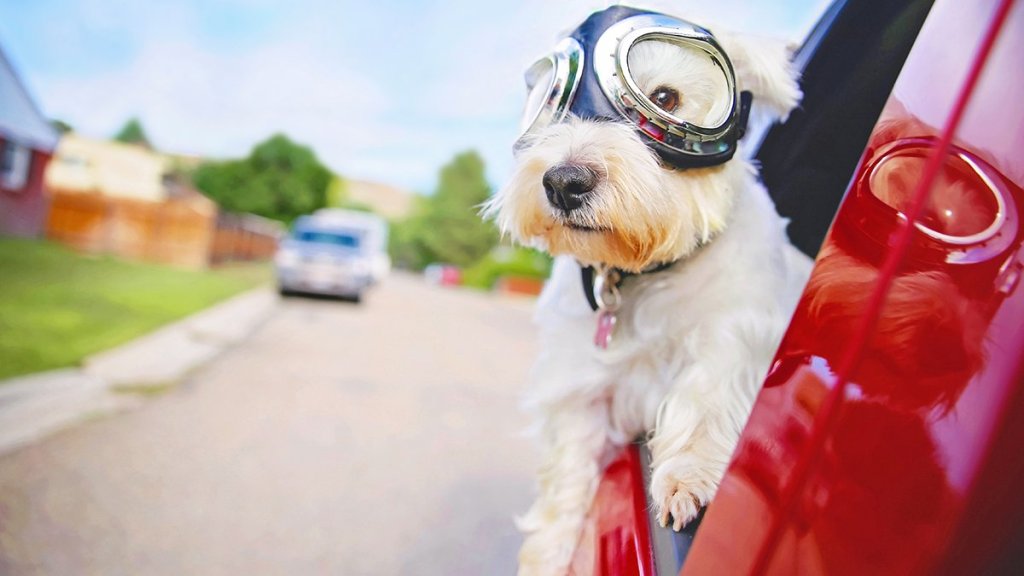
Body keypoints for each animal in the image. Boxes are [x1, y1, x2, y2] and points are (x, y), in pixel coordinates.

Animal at [483, 5, 811, 573]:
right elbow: (568, 473)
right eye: (552, 103)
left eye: (665, 98)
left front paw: (688, 477)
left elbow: (707, 393)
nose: (563, 182)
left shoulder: (739, 332)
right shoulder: (580, 385)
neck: (643, 271)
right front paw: (550, 551)